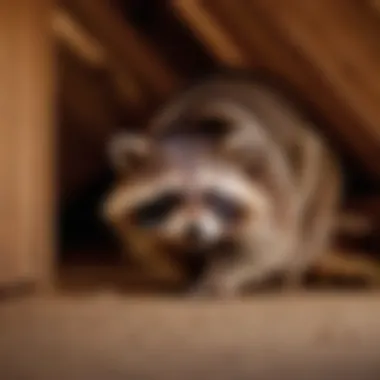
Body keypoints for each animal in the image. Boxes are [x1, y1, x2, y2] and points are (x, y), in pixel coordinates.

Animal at [100, 70, 342, 296]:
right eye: (171, 197)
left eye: (211, 195)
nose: (194, 231)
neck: (192, 132)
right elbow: (153, 245)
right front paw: (188, 272)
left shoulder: (270, 186)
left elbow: (268, 245)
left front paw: (221, 277)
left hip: (316, 172)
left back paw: (291, 275)